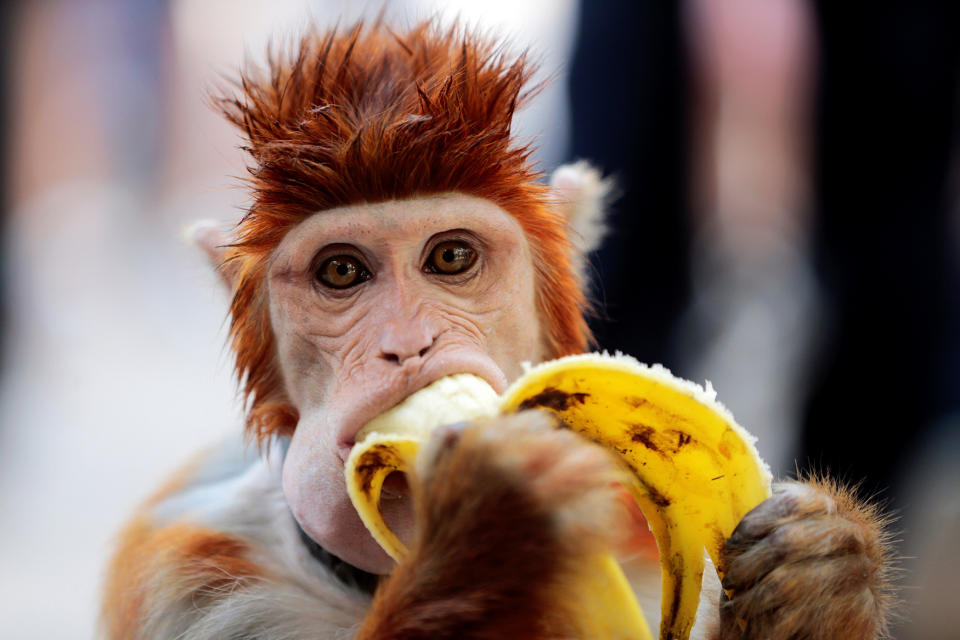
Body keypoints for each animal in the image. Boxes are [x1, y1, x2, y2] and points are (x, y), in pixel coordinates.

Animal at [99, 17, 892, 636]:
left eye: (451, 257)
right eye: (342, 272)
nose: (407, 344)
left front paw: (827, 570)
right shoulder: (198, 588)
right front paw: (498, 521)